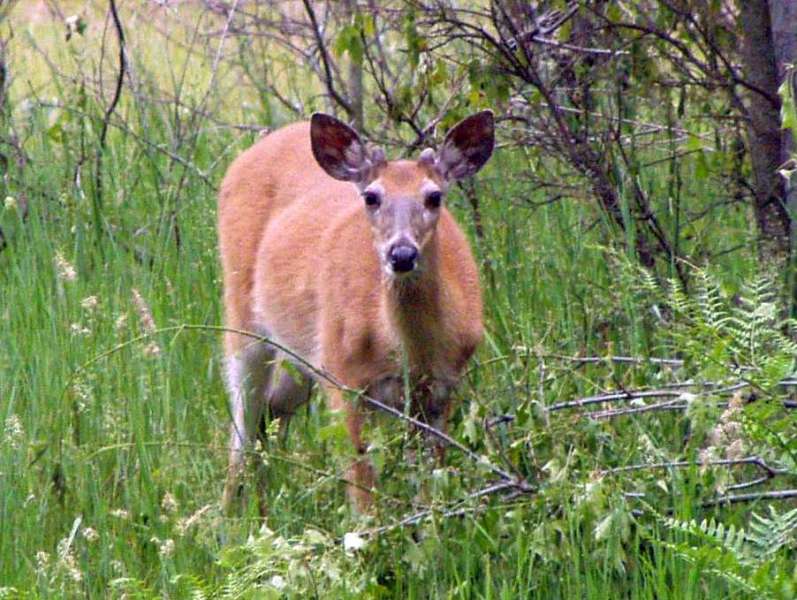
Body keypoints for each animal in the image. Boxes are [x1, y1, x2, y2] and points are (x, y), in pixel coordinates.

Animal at [218, 110, 492, 512]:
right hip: (244, 319)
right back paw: (230, 517)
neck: (411, 351)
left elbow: (429, 486)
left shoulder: (442, 388)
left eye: (434, 196)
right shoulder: (342, 376)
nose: (402, 254)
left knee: (269, 414)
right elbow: (363, 489)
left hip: (301, 355)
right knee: (241, 429)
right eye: (372, 197)